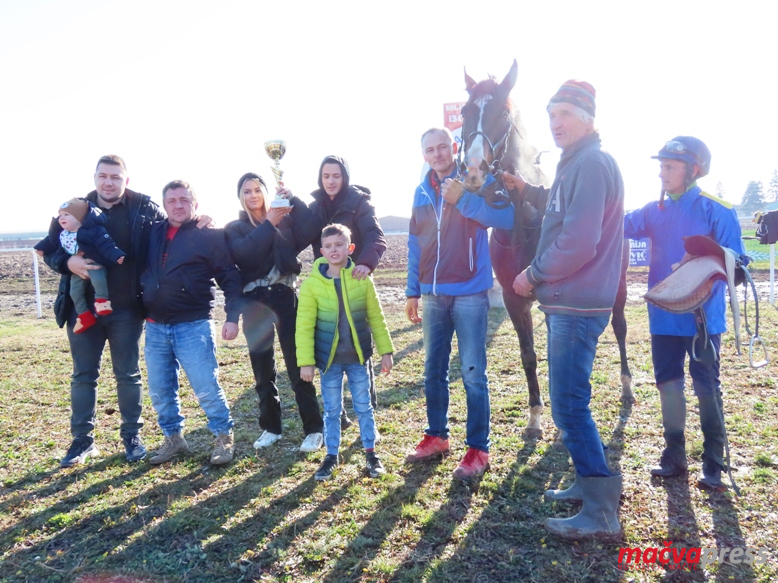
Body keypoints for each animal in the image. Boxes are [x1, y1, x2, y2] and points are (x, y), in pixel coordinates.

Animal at [460, 60, 632, 434]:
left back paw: (627, 386)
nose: (475, 170)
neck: (523, 224)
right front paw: (536, 415)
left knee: (620, 327)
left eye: (503, 113)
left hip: (620, 286)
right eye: (465, 112)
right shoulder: (514, 300)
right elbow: (529, 355)